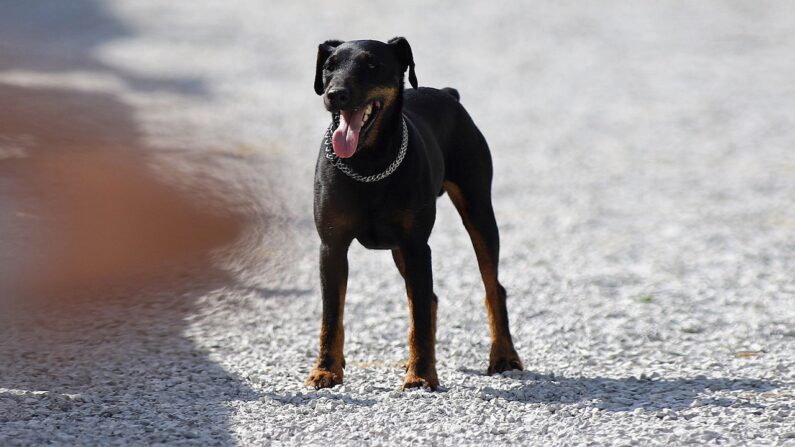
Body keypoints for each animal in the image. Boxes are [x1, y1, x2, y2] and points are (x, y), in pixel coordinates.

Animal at [306, 36, 524, 390]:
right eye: (329, 66)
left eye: (372, 64)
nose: (335, 94)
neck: (368, 163)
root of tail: (449, 94)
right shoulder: (332, 247)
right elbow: (331, 315)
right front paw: (326, 371)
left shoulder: (417, 246)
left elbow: (419, 314)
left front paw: (420, 376)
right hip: (399, 251)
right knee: (430, 297)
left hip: (478, 211)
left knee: (493, 287)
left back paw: (504, 356)